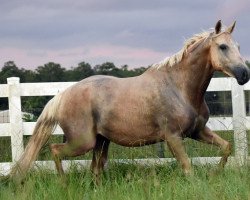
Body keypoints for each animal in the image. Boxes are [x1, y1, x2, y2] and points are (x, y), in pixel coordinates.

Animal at [8, 20, 249, 183]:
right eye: (223, 47)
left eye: (238, 46)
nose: (244, 74)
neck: (179, 88)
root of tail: (63, 94)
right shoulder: (173, 137)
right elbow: (187, 168)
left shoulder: (197, 132)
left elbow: (226, 147)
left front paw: (215, 174)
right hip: (83, 142)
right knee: (55, 150)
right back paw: (64, 184)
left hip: (101, 142)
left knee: (95, 169)